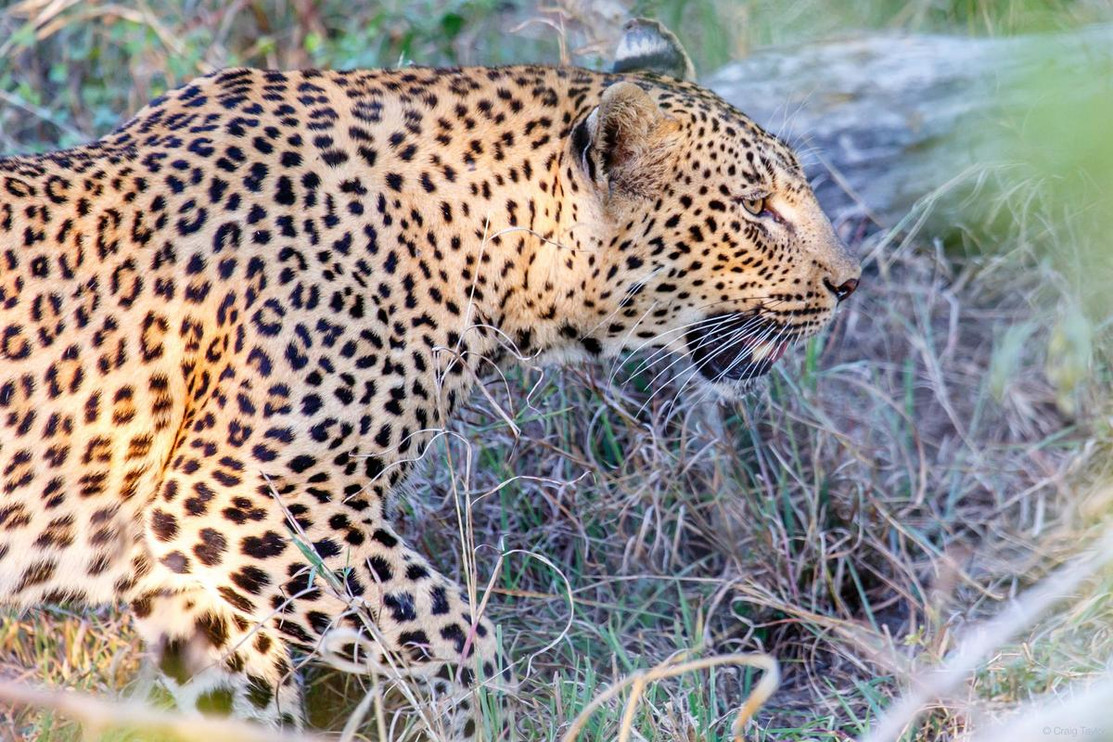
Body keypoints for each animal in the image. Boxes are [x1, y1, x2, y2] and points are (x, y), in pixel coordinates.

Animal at [0, 19, 859, 739]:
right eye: (756, 208)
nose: (849, 284)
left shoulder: (186, 570)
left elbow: (235, 698)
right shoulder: (239, 497)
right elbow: (457, 639)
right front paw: (483, 722)